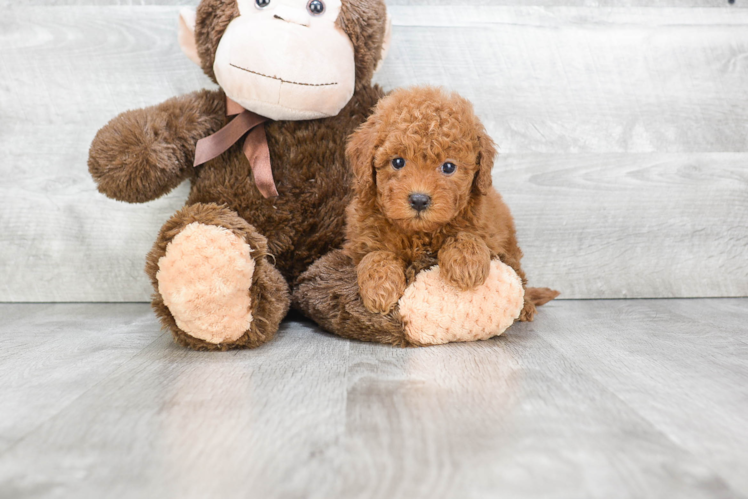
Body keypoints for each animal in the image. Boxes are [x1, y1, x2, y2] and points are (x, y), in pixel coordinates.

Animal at [342, 86, 552, 320]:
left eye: (448, 167)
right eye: (397, 162)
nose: (419, 200)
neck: (419, 233)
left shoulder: (486, 230)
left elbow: (466, 235)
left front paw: (467, 263)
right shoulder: (360, 241)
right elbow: (375, 255)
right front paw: (380, 288)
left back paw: (526, 306)